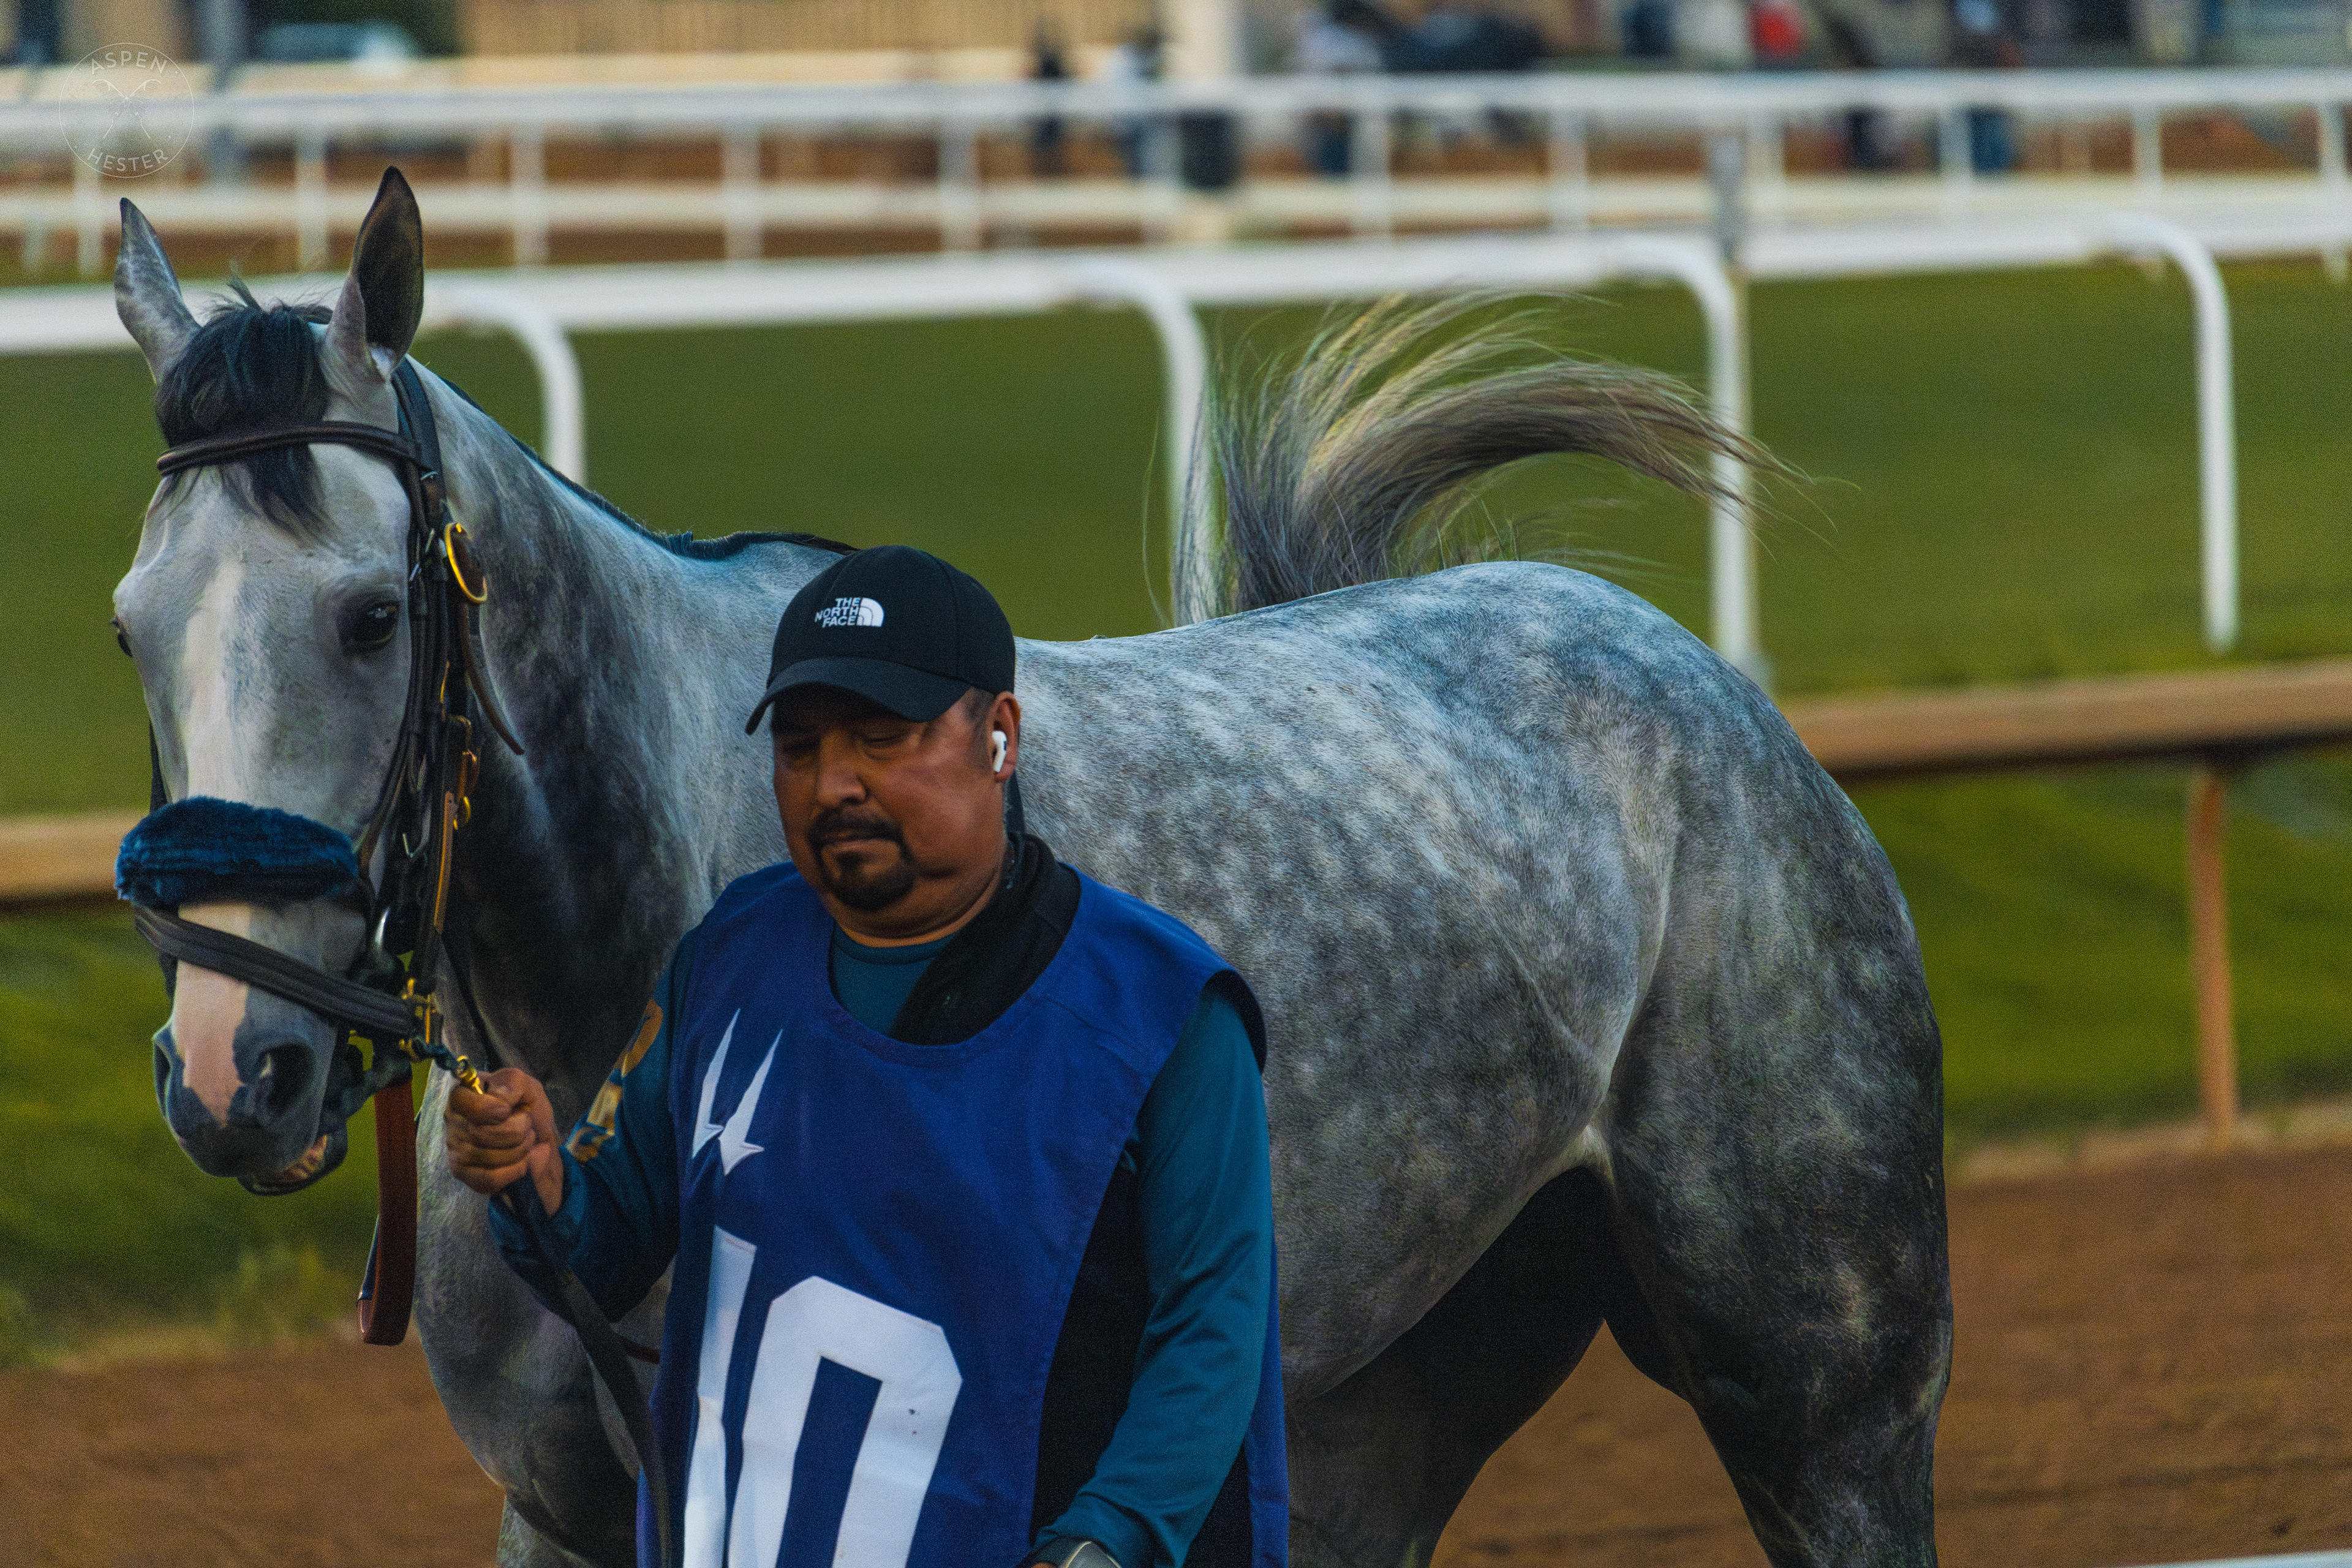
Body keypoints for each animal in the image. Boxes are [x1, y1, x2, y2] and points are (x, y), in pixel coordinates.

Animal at [109, 170, 1951, 1568]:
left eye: (370, 613)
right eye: (131, 627)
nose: (231, 1066)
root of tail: (1684, 674)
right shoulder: (562, 1509)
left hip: (1827, 1385)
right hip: (1389, 1393)